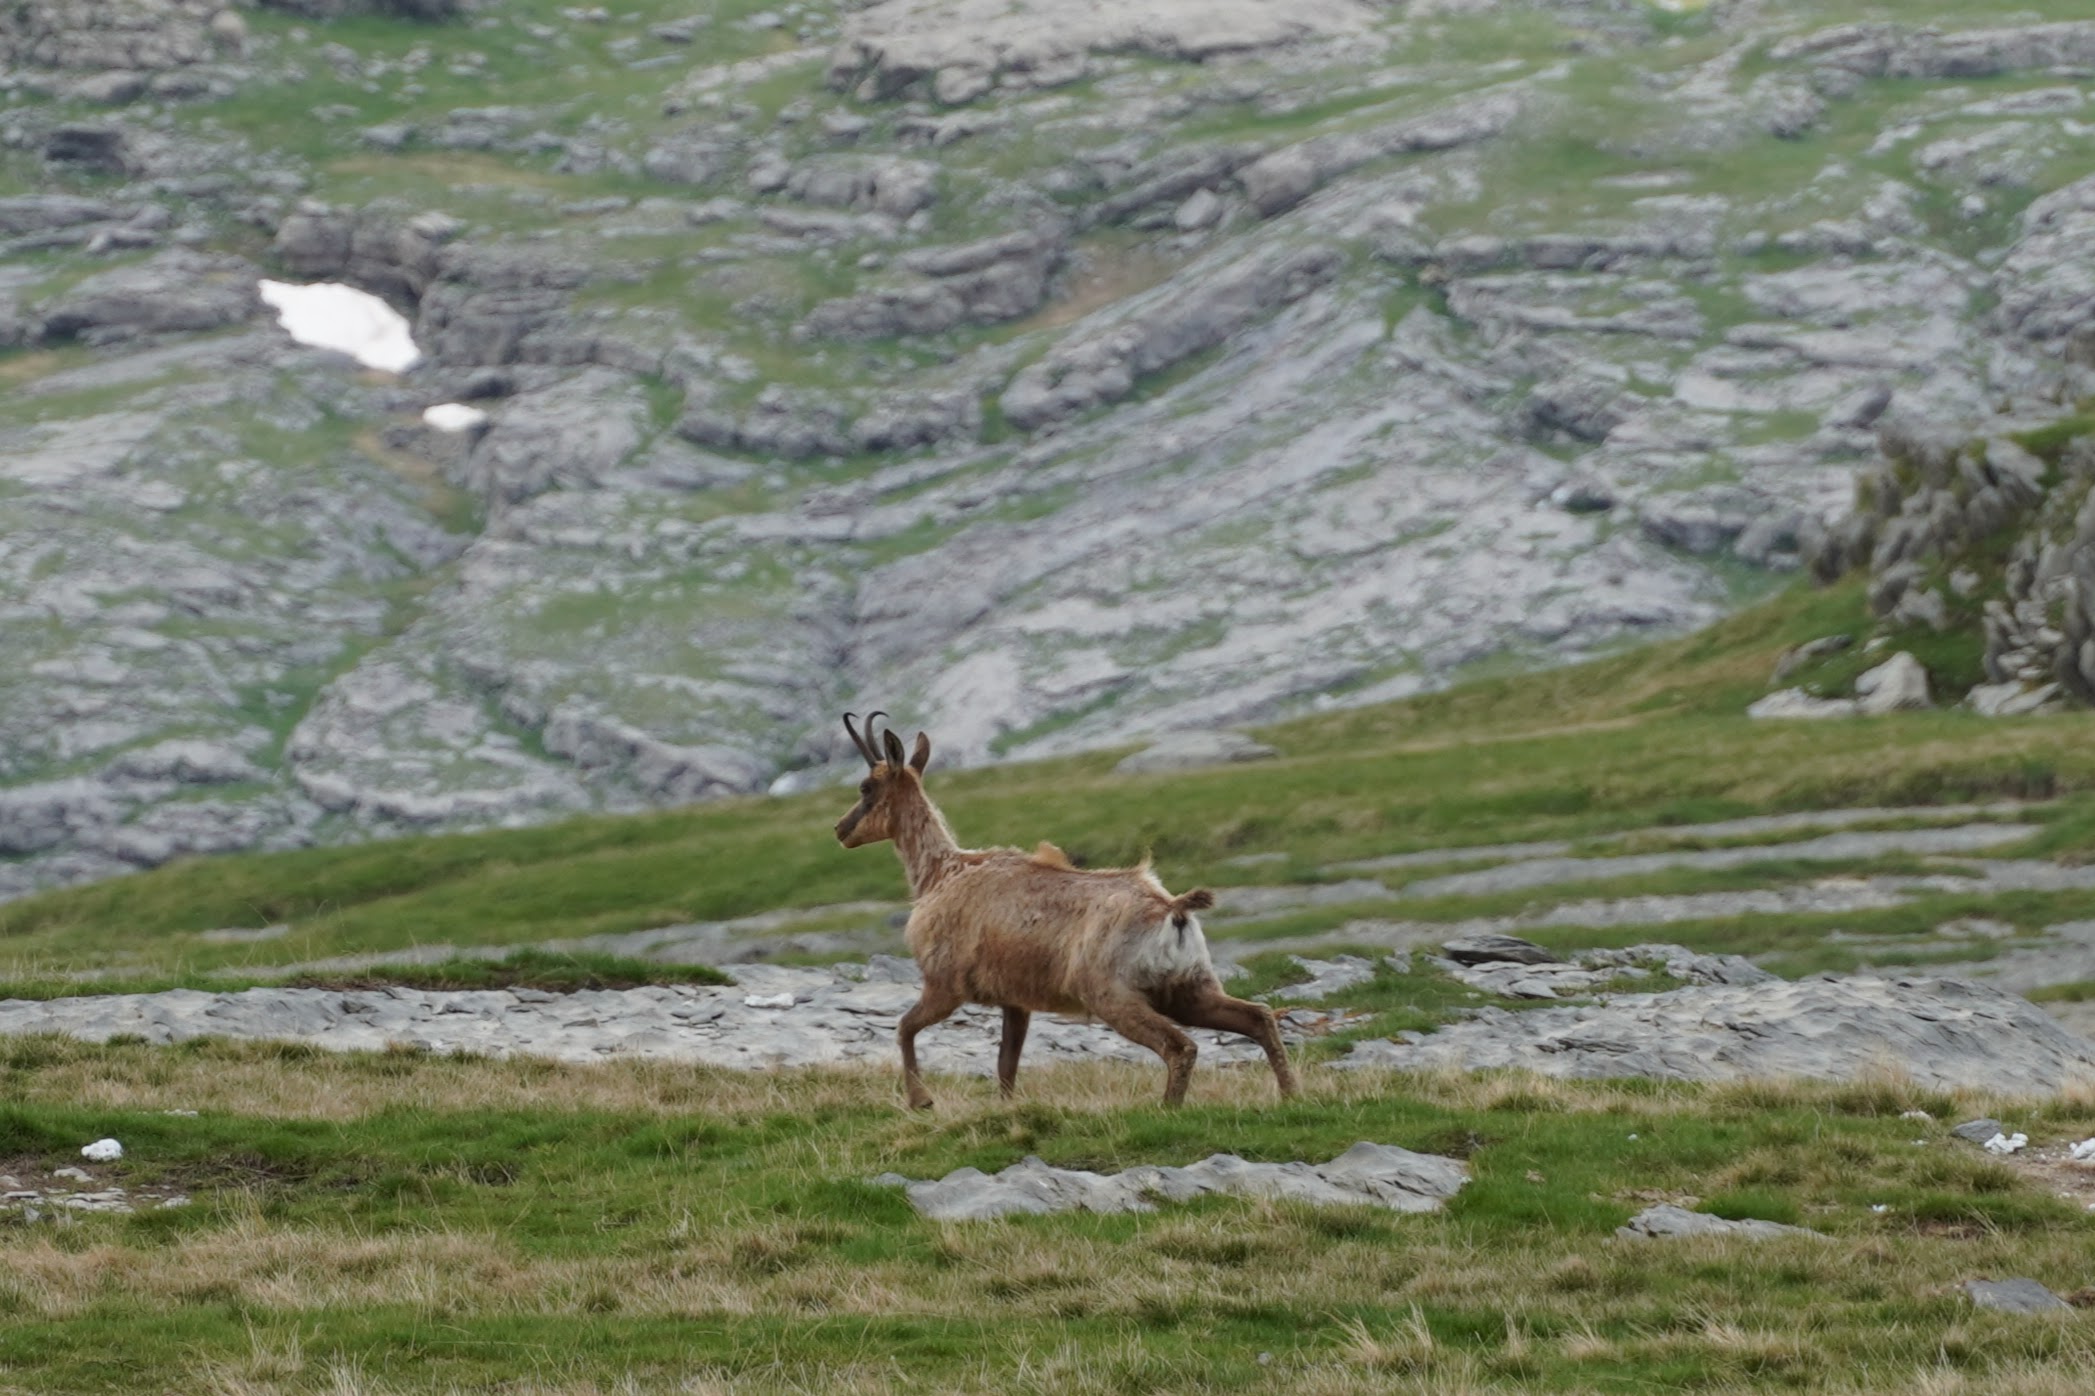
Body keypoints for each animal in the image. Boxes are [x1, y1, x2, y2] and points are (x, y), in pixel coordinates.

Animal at [832, 711, 1298, 1109]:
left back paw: (1168, 1110)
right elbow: (1006, 1062)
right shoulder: (1015, 1000)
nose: (840, 830)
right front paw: (1005, 1110)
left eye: (866, 787)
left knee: (1179, 1046)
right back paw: (1291, 1096)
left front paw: (922, 1101)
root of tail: (1171, 908)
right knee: (1257, 1017)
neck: (943, 872)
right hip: (1188, 988)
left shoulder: (944, 984)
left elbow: (906, 1027)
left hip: (1113, 994)